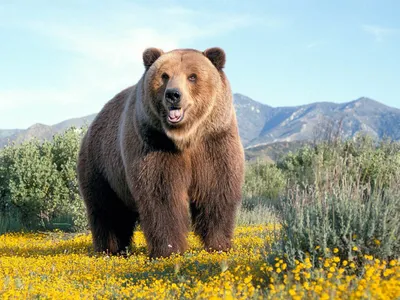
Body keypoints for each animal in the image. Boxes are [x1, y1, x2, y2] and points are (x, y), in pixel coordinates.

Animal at [75, 46, 244, 258]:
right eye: (165, 75)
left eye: (192, 76)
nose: (173, 94)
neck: (185, 137)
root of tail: (93, 123)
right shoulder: (154, 144)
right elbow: (162, 196)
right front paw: (168, 250)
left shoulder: (214, 142)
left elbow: (216, 191)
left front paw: (219, 245)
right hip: (101, 166)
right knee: (107, 210)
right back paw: (110, 249)